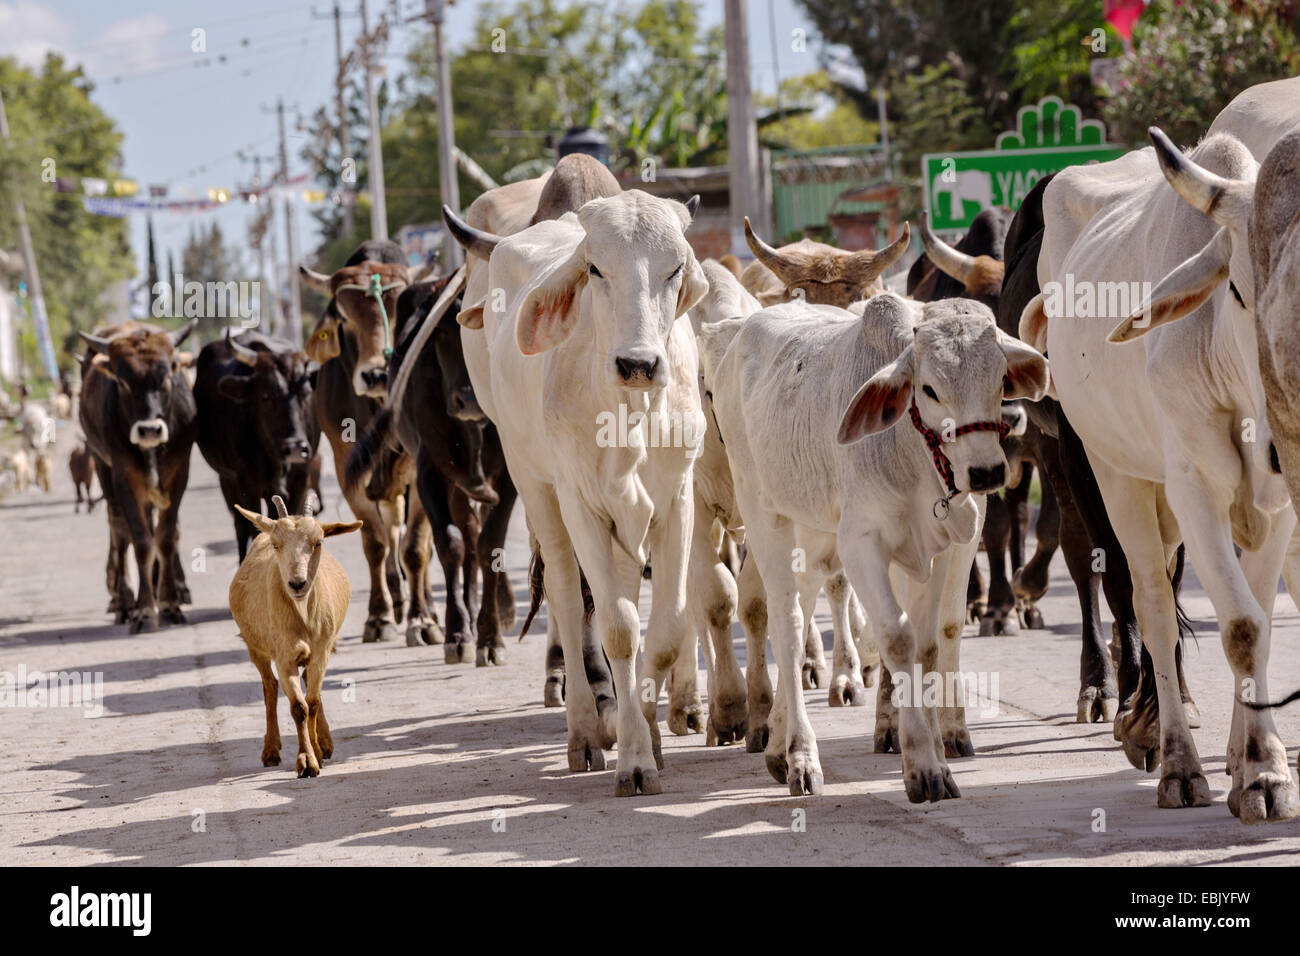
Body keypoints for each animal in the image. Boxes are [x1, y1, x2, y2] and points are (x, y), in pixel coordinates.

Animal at [78, 321, 198, 634]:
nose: (149, 430)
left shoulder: (179, 472)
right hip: (102, 467)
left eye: (166, 376)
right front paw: (144, 609)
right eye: (123, 382)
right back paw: (123, 603)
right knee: (119, 530)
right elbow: (142, 541)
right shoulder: (124, 477)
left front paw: (168, 604)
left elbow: (166, 536)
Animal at [193, 330, 323, 561]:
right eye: (266, 396)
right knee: (240, 527)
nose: (296, 448)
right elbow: (254, 531)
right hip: (228, 481)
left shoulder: (300, 478)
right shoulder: (248, 484)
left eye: (306, 393)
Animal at [457, 188, 707, 790]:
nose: (638, 363)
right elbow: (616, 628)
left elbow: (665, 627)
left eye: (675, 267)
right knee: (569, 601)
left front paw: (650, 733)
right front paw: (634, 758)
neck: (630, 414)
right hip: (536, 486)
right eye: (594, 268)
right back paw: (585, 735)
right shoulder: (581, 504)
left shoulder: (676, 500)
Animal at [702, 293, 1045, 801]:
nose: (986, 472)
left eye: (1000, 379)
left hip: (810, 529)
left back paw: (778, 747)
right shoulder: (860, 545)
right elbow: (897, 637)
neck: (913, 455)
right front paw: (922, 767)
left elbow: (928, 645)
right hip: (764, 514)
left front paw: (939, 757)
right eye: (929, 389)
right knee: (787, 625)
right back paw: (800, 755)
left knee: (803, 604)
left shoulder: (942, 548)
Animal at [1024, 127, 1300, 827]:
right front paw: (1257, 772)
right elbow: (1241, 626)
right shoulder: (1193, 486)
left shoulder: (1278, 504)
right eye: (1238, 292)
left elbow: (1259, 615)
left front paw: (1258, 763)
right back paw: (1174, 756)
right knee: (1147, 600)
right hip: (1114, 474)